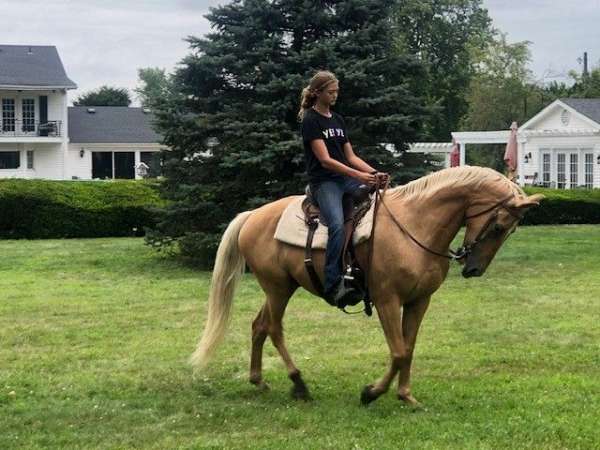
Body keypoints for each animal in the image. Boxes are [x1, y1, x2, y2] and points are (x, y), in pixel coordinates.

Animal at [191, 165, 544, 404]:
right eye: (498, 226)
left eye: (511, 230)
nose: (473, 269)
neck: (414, 227)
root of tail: (253, 215)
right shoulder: (388, 299)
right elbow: (398, 351)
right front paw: (372, 392)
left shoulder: (419, 301)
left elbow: (408, 348)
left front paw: (405, 395)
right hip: (277, 288)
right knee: (275, 329)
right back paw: (299, 383)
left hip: (283, 286)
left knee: (259, 325)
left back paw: (258, 380)